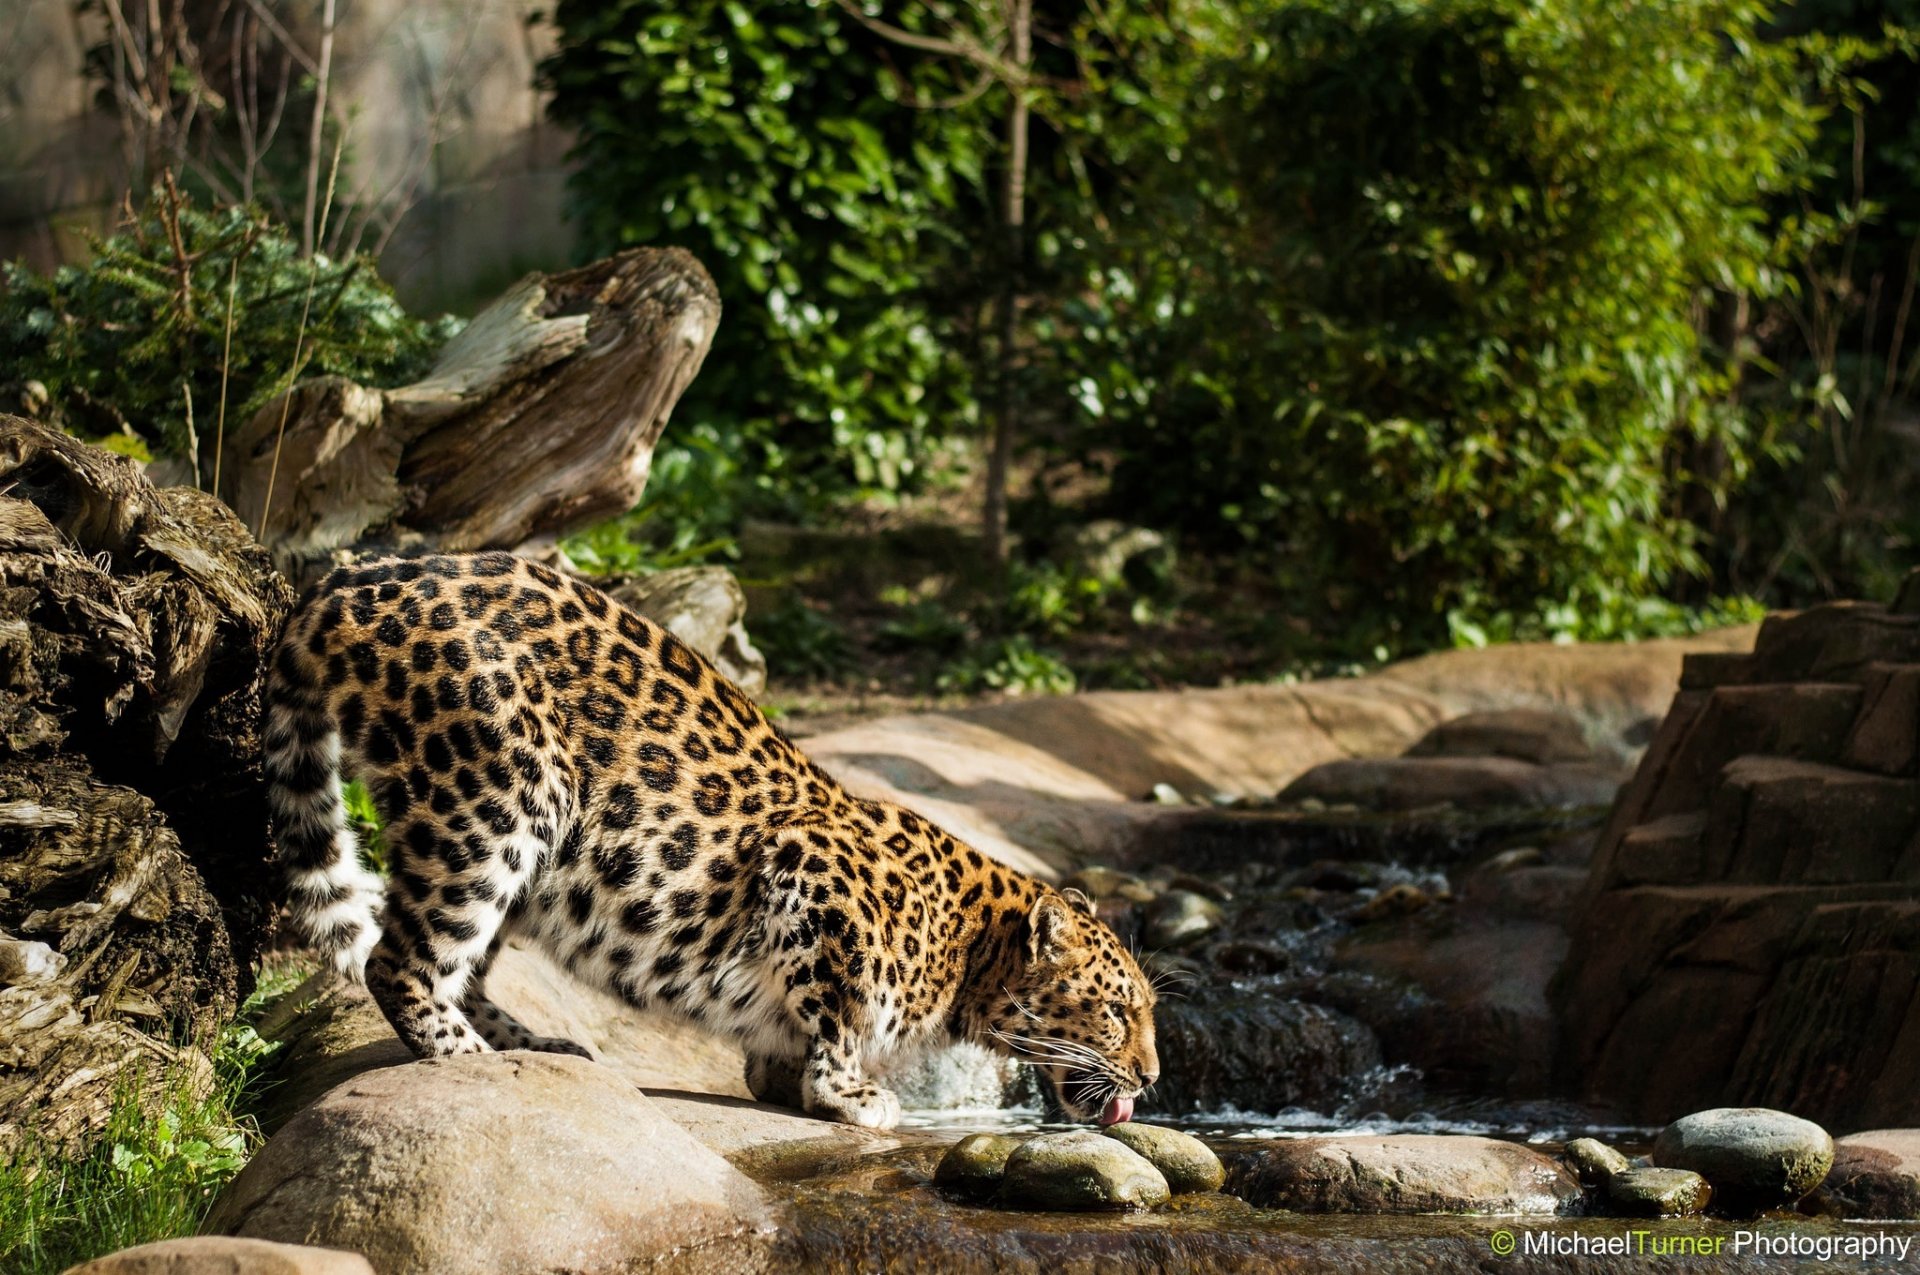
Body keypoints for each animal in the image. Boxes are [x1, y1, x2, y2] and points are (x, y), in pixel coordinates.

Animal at [263, 551, 1159, 1129]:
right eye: (1118, 1010)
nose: (1151, 1076)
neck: (970, 949)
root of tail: (349, 576)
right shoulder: (811, 871)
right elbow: (838, 1010)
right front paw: (851, 1095)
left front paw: (785, 1077)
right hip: (501, 793)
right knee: (397, 956)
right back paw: (469, 1054)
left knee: (463, 960)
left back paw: (537, 1044)